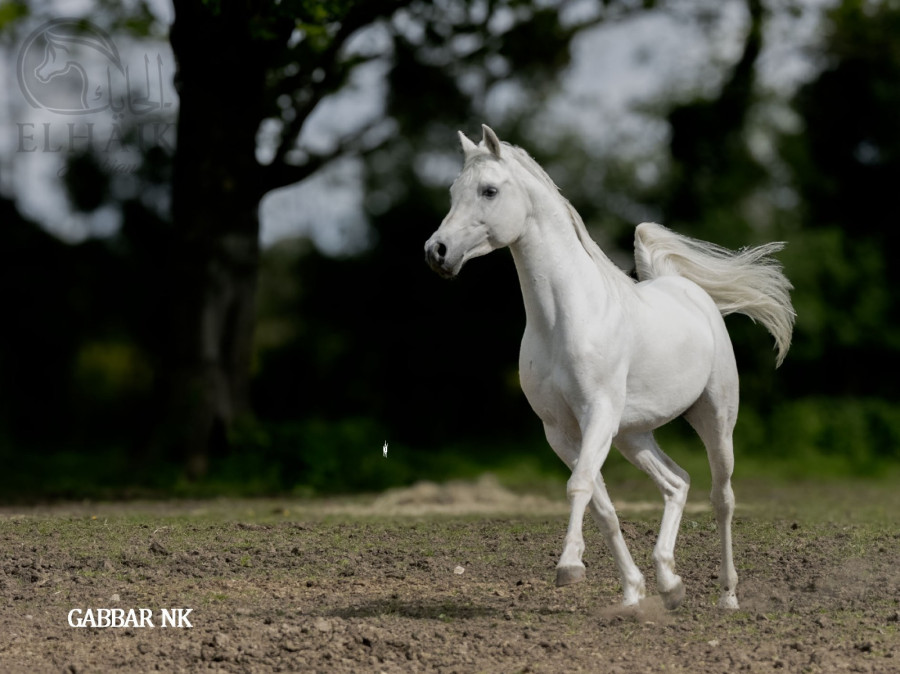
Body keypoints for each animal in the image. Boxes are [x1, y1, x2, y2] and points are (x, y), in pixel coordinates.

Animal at [424, 126, 796, 608]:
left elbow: (580, 486)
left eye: (489, 190)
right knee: (677, 482)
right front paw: (632, 594)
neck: (563, 319)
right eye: (454, 192)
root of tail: (689, 292)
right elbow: (602, 504)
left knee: (722, 497)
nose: (437, 251)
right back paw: (669, 583)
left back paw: (728, 596)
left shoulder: (596, 414)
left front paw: (568, 567)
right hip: (632, 435)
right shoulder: (561, 431)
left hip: (715, 419)